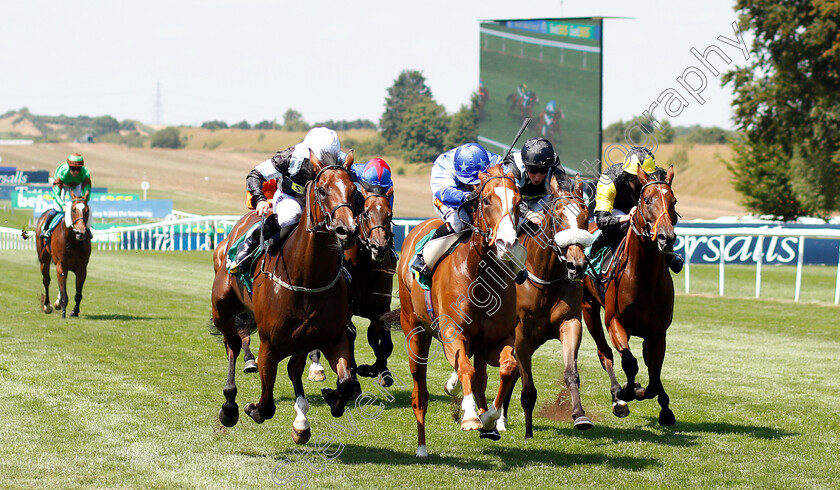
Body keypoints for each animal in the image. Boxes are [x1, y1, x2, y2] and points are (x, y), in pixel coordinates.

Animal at [210, 150, 360, 444]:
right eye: (322, 190)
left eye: (354, 191)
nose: (346, 231)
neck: (307, 279)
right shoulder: (270, 344)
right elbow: (266, 404)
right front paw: (251, 408)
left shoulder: (331, 336)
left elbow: (346, 383)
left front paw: (331, 396)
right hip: (222, 308)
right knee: (232, 345)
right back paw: (230, 406)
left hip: (301, 338)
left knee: (293, 368)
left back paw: (301, 421)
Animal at [396, 166, 524, 460]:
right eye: (486, 200)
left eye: (519, 200)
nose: (507, 242)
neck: (479, 276)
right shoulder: (453, 333)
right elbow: (465, 368)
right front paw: (469, 416)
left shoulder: (498, 338)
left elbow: (507, 368)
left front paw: (489, 418)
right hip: (415, 331)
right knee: (420, 394)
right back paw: (422, 448)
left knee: (480, 378)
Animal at [498, 174, 596, 438]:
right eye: (558, 216)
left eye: (585, 216)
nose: (577, 265)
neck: (544, 277)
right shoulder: (521, 336)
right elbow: (528, 389)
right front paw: (528, 433)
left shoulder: (570, 323)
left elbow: (571, 373)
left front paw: (580, 416)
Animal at [584, 165, 684, 424]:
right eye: (647, 200)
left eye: (673, 201)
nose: (666, 237)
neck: (643, 277)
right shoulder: (614, 321)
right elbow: (629, 362)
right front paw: (626, 392)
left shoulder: (658, 331)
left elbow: (654, 372)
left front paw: (662, 406)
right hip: (588, 307)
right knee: (605, 353)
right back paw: (617, 396)